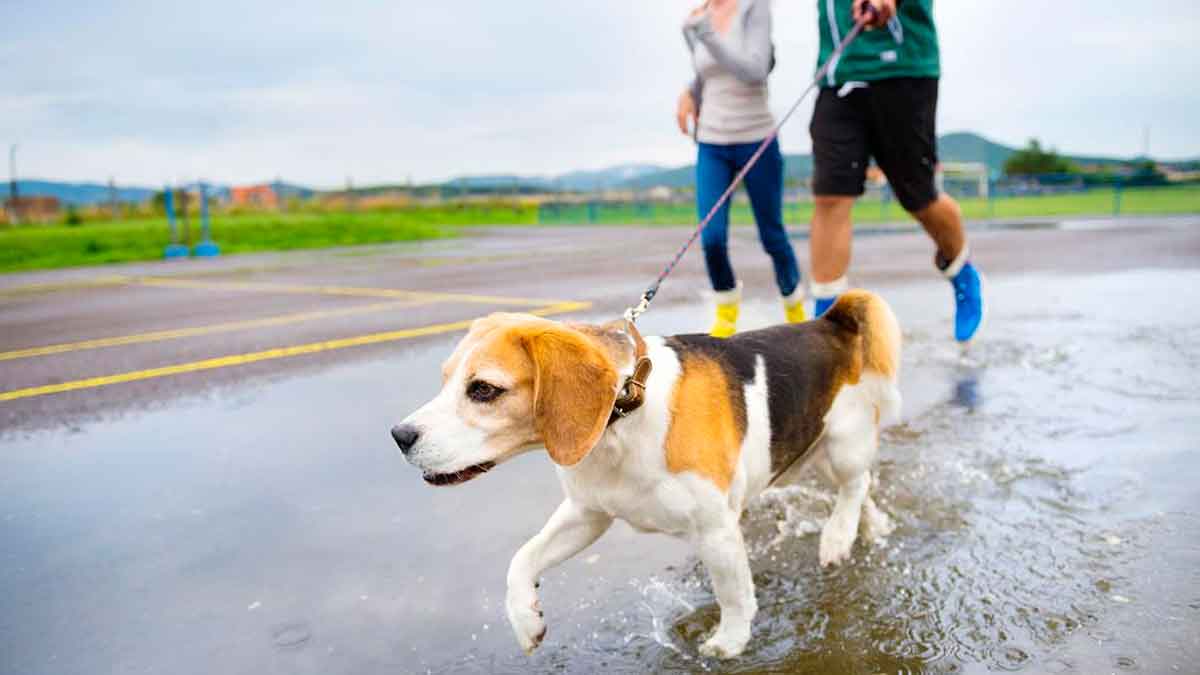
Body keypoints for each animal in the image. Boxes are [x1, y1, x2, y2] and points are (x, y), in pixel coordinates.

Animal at [393, 289, 902, 658]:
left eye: (483, 389)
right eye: (445, 379)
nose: (399, 435)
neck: (625, 411)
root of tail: (830, 321)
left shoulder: (716, 529)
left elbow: (734, 594)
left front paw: (730, 642)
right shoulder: (588, 513)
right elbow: (522, 559)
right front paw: (526, 620)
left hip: (842, 446)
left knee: (855, 484)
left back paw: (837, 536)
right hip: (803, 458)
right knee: (860, 492)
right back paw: (869, 527)